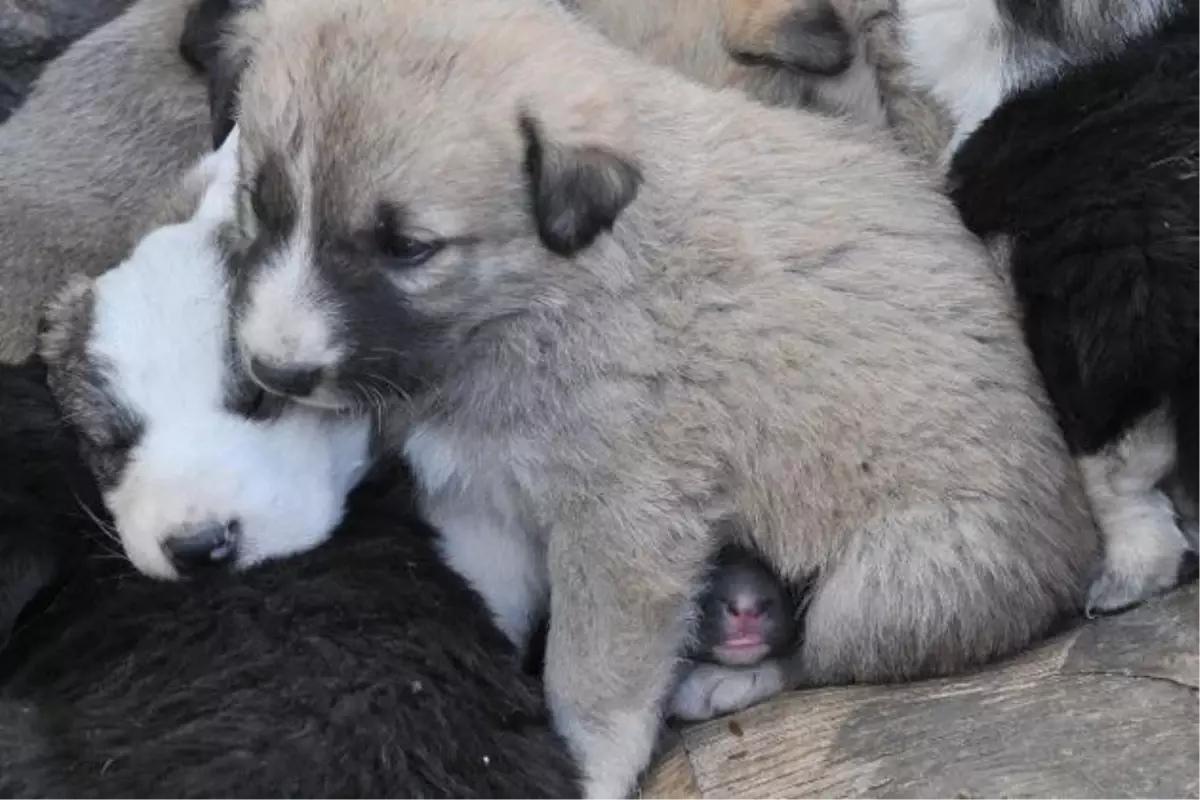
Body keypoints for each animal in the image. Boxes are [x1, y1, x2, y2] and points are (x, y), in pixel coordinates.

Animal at [213, 0, 1099, 796]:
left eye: (408, 248)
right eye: (262, 202)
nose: (275, 371)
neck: (534, 300)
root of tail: (1076, 542)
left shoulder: (625, 528)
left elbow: (592, 685)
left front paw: (588, 771)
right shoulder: (483, 502)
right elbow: (487, 610)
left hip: (885, 588)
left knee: (828, 652)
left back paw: (730, 678)